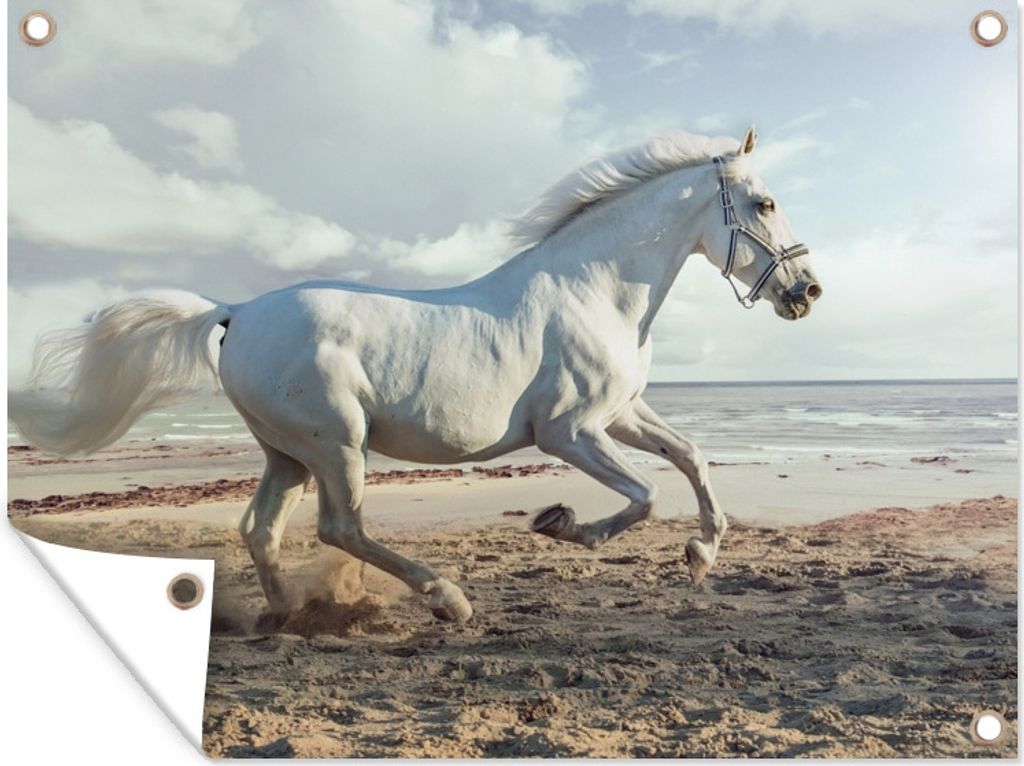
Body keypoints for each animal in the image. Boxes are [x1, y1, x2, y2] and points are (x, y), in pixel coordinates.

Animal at [9, 126, 821, 623]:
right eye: (765, 202)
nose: (807, 292)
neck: (591, 288)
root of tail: (235, 311)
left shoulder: (620, 414)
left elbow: (691, 457)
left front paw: (701, 555)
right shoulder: (570, 431)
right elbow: (646, 494)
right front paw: (564, 525)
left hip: (287, 454)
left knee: (261, 529)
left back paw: (287, 617)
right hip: (337, 442)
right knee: (341, 527)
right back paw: (446, 599)